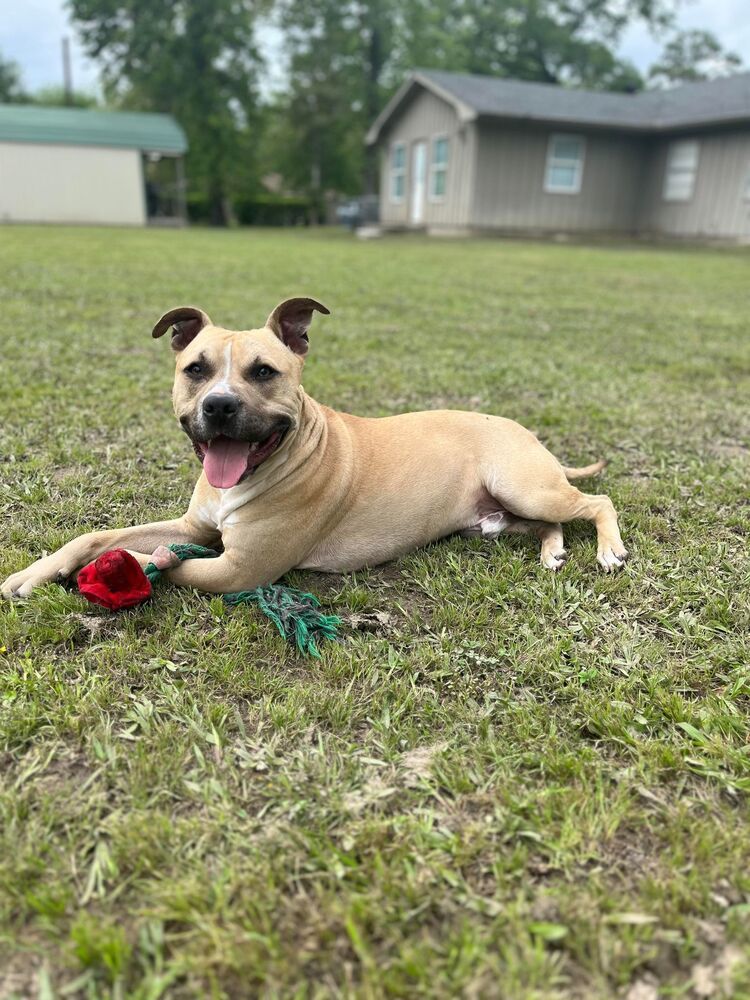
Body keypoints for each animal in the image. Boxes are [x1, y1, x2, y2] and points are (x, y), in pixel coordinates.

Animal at [0, 298, 628, 600]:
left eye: (264, 371)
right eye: (195, 369)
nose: (219, 407)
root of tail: (524, 431)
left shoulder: (237, 569)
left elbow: (168, 567)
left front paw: (137, 569)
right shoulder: (195, 527)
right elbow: (98, 536)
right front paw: (35, 574)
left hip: (523, 484)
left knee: (596, 502)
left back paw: (608, 550)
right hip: (498, 515)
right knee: (552, 521)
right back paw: (552, 550)